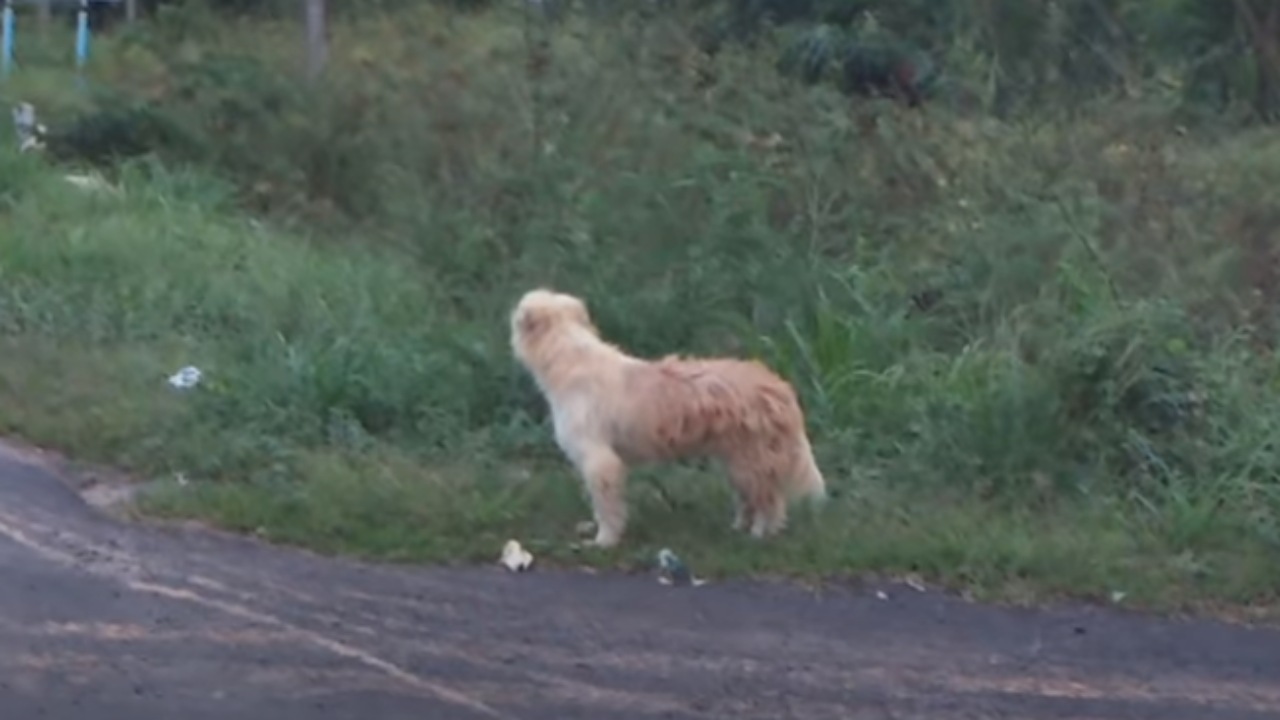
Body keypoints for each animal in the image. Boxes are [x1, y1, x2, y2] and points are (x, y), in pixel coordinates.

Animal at [509, 285, 829, 543]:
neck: (570, 355)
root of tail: (779, 387)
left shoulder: (599, 461)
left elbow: (607, 507)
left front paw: (605, 541)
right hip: (738, 461)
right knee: (751, 497)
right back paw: (739, 527)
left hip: (752, 461)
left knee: (770, 501)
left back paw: (760, 534)